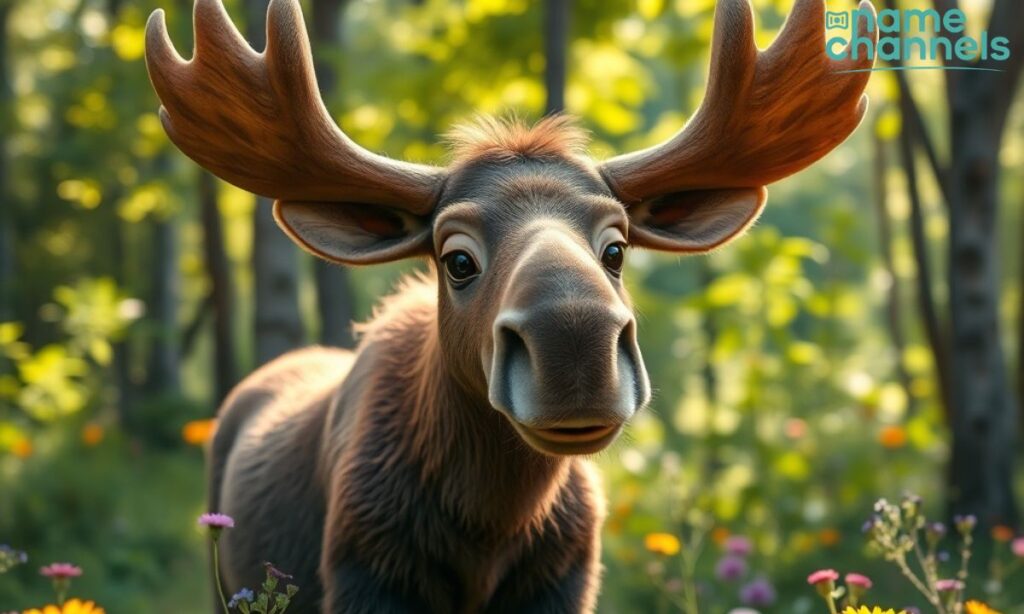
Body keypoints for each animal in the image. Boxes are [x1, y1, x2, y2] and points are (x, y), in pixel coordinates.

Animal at [144, 0, 875, 610]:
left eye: (616, 248)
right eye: (457, 259)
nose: (575, 350)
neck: (490, 525)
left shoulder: (563, 583)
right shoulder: (366, 575)